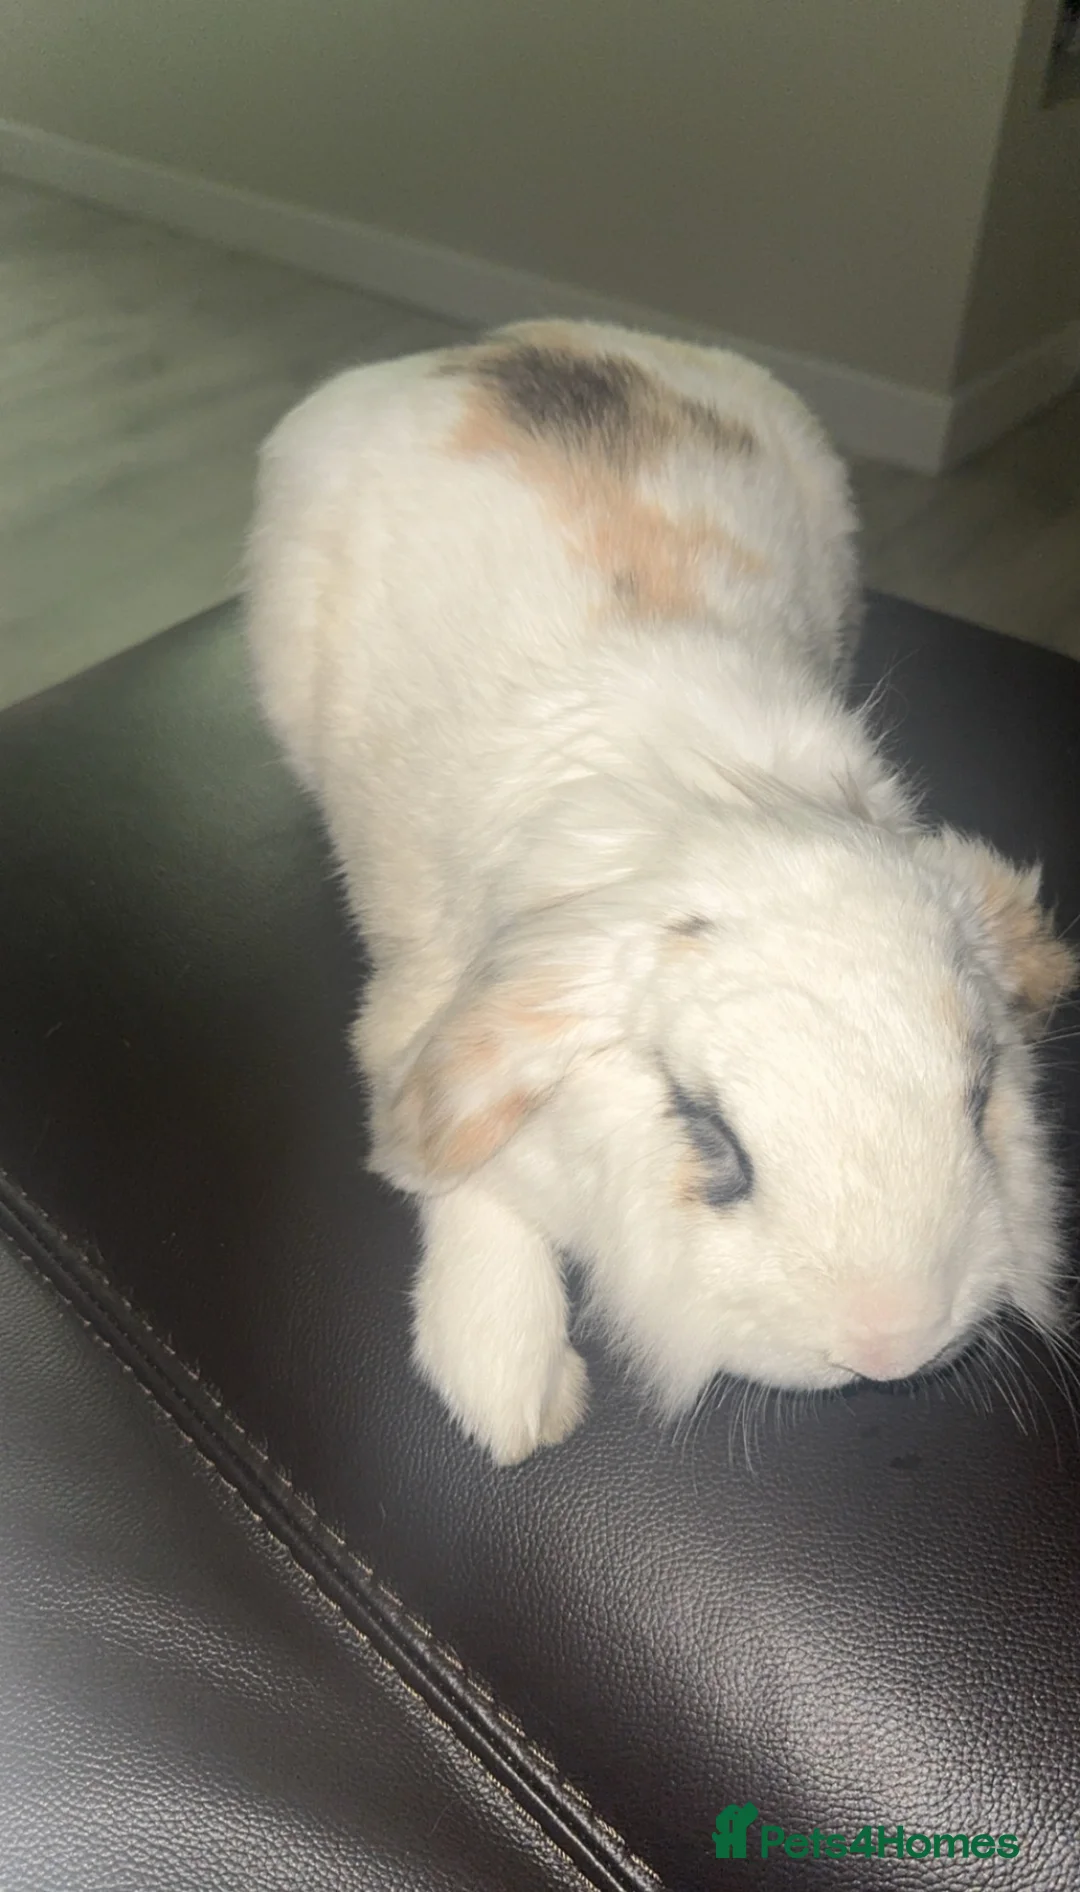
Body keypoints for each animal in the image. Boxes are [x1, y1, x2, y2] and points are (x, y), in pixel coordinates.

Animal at [245, 319, 1077, 1465]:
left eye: (981, 1097)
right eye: (710, 1133)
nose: (889, 1344)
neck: (720, 799)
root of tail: (509, 340)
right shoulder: (425, 1015)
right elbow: (461, 1179)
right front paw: (509, 1396)